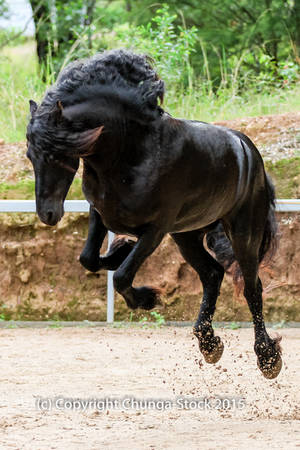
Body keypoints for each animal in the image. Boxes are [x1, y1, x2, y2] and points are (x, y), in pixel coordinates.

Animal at [25, 50, 282, 380]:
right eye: (31, 155)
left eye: (57, 153)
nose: (48, 213)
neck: (129, 154)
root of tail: (249, 151)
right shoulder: (101, 212)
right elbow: (89, 258)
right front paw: (120, 252)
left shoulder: (156, 229)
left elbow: (122, 276)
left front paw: (148, 298)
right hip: (187, 235)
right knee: (212, 274)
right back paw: (209, 344)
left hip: (243, 233)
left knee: (252, 288)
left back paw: (268, 358)